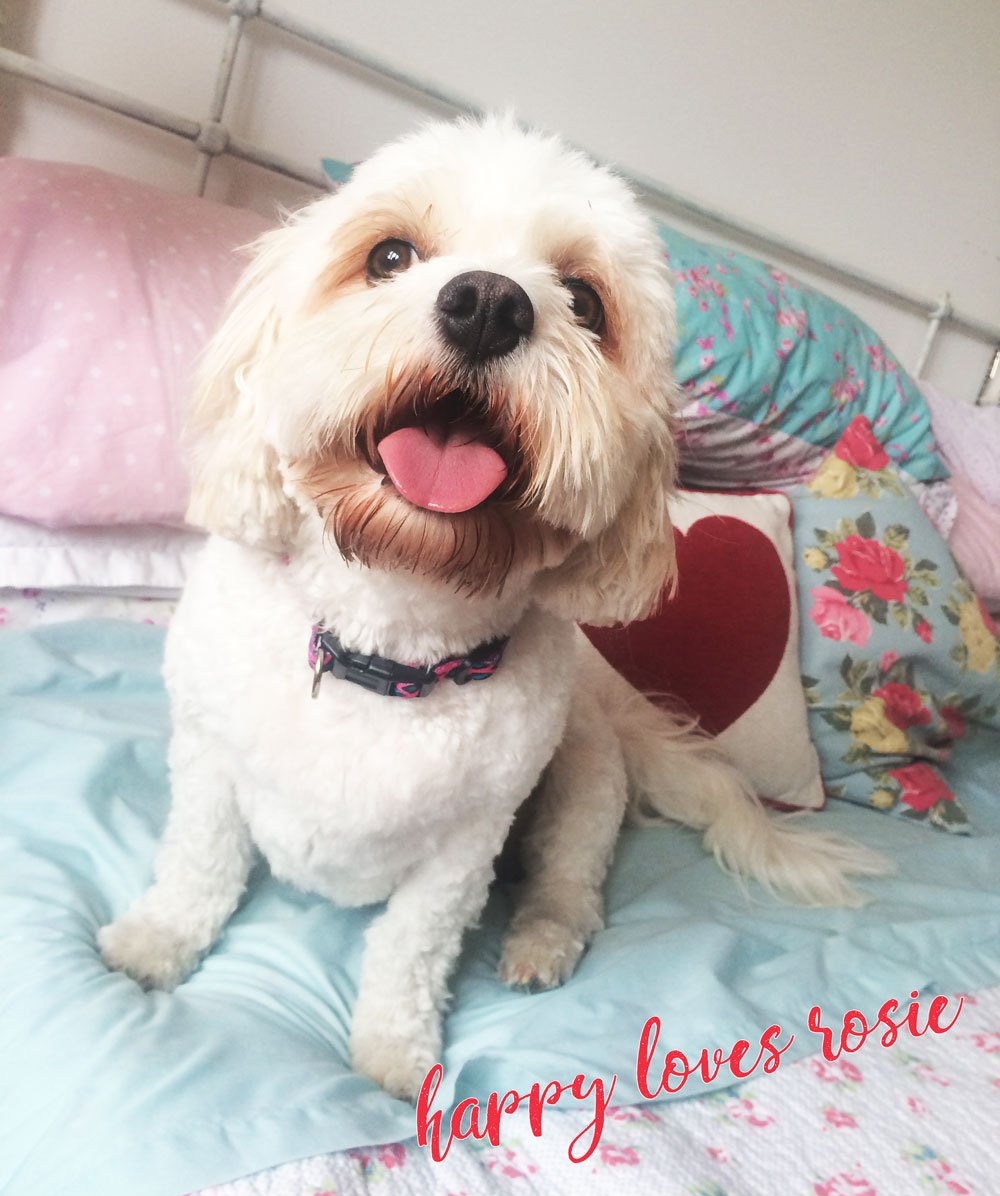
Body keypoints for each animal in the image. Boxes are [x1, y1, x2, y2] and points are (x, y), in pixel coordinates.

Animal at [97, 116, 885, 1095]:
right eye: (390, 255)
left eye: (584, 301)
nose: (487, 303)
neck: (388, 641)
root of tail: (622, 715)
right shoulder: (208, 762)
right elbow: (200, 866)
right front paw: (158, 940)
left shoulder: (463, 848)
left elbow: (410, 951)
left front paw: (393, 1056)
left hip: (582, 785)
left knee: (571, 887)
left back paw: (541, 941)